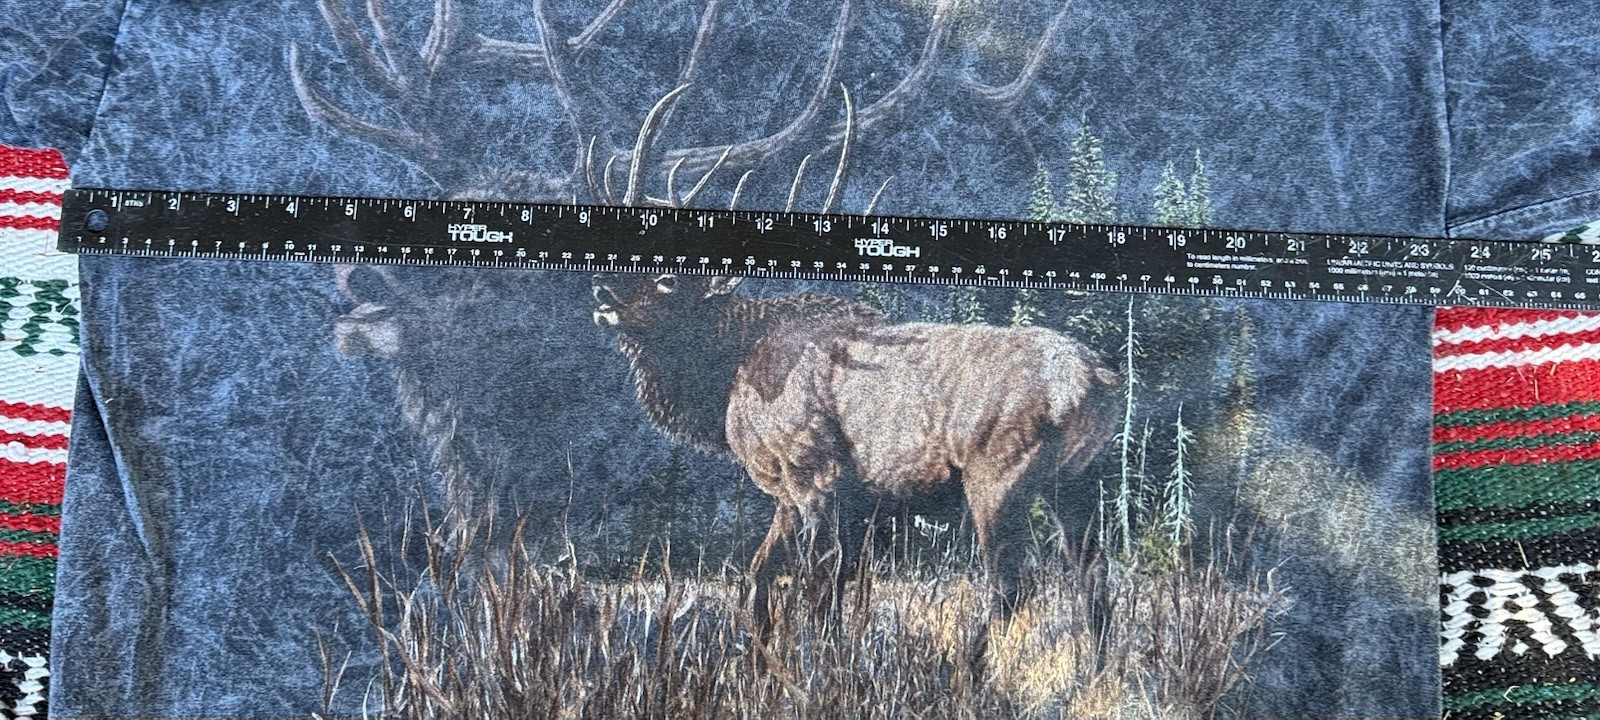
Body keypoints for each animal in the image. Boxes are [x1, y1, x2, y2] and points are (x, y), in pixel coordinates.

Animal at [592, 272, 1119, 632]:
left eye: (668, 280)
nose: (601, 291)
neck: (727, 377)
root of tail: (1093, 380)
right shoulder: (804, 498)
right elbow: (762, 577)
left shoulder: (813, 473)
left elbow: (821, 584)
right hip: (1078, 479)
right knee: (1093, 574)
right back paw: (1094, 675)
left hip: (998, 476)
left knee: (1010, 586)